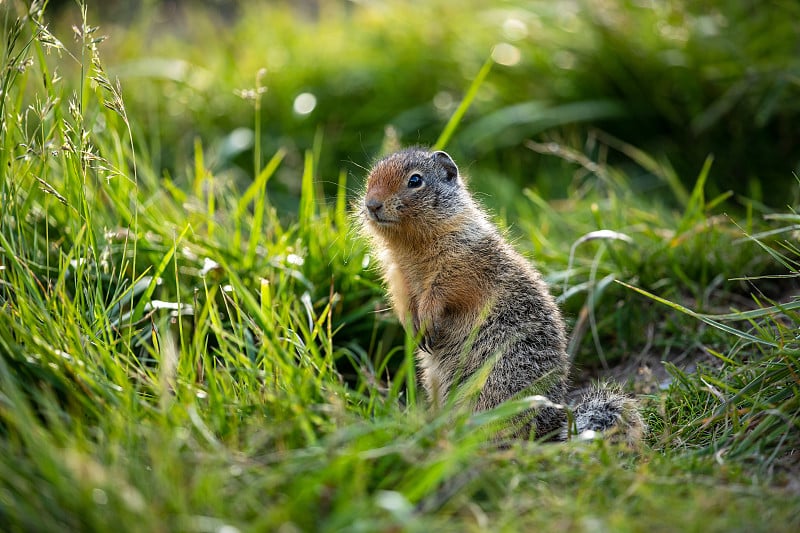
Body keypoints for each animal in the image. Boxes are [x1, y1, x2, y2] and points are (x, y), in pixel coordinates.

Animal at [360, 148, 648, 442]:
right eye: (370, 178)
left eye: (415, 180)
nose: (372, 204)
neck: (410, 247)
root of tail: (554, 420)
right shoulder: (396, 275)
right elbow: (402, 300)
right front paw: (412, 326)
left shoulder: (460, 263)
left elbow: (443, 290)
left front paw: (428, 319)